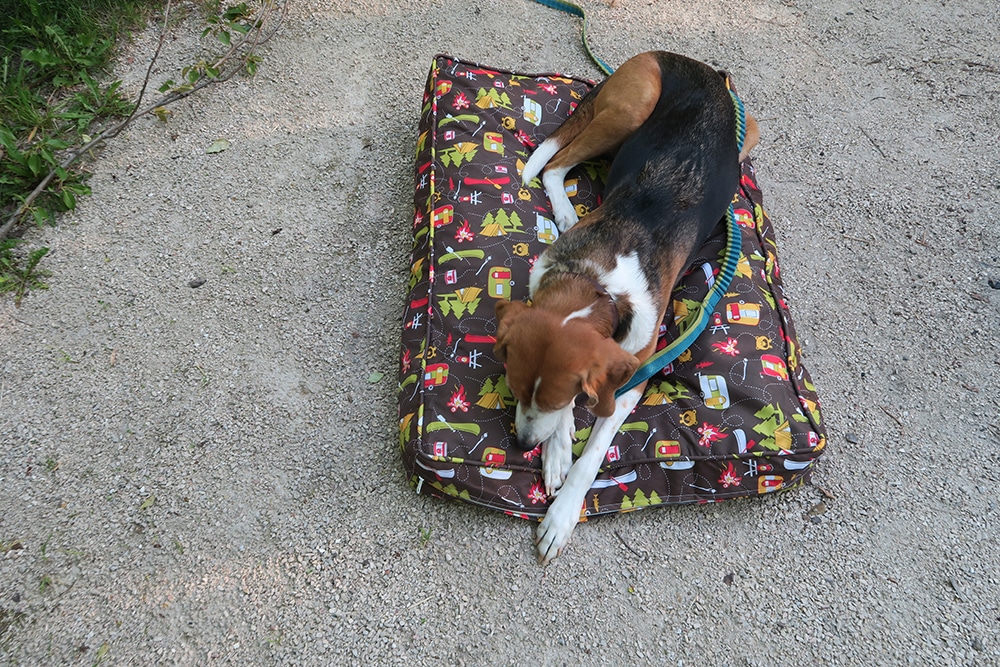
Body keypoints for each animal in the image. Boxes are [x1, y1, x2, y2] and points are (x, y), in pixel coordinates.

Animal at [492, 52, 756, 564]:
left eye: (547, 400)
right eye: (513, 388)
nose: (522, 444)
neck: (598, 287)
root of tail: (683, 60)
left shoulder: (636, 375)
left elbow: (593, 454)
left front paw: (561, 514)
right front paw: (557, 452)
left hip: (740, 129)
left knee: (557, 161)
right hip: (635, 105)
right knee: (555, 164)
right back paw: (566, 210)